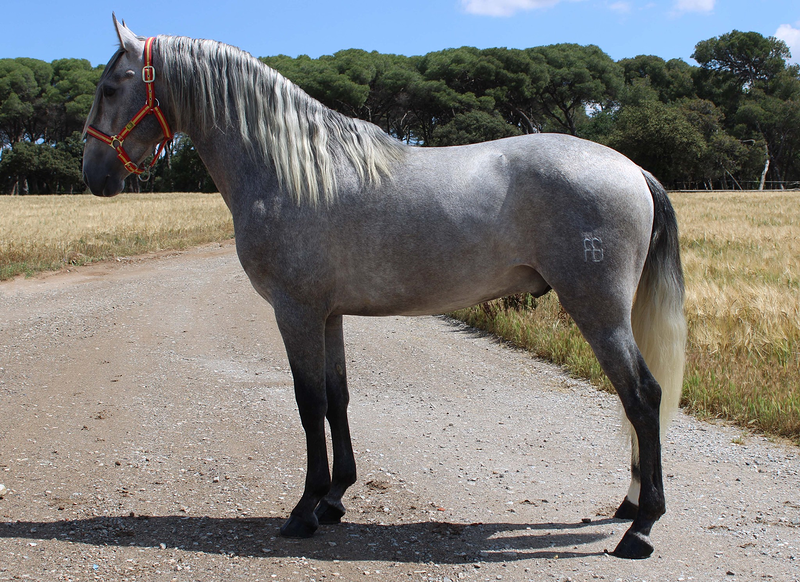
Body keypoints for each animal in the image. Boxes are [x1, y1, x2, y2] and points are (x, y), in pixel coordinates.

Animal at [82, 16, 687, 560]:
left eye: (111, 87)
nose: (93, 175)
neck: (291, 171)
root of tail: (632, 169)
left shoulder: (295, 312)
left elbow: (308, 404)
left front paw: (304, 511)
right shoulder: (328, 315)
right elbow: (337, 399)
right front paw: (334, 498)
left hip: (599, 311)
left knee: (643, 396)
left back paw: (642, 529)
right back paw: (630, 506)